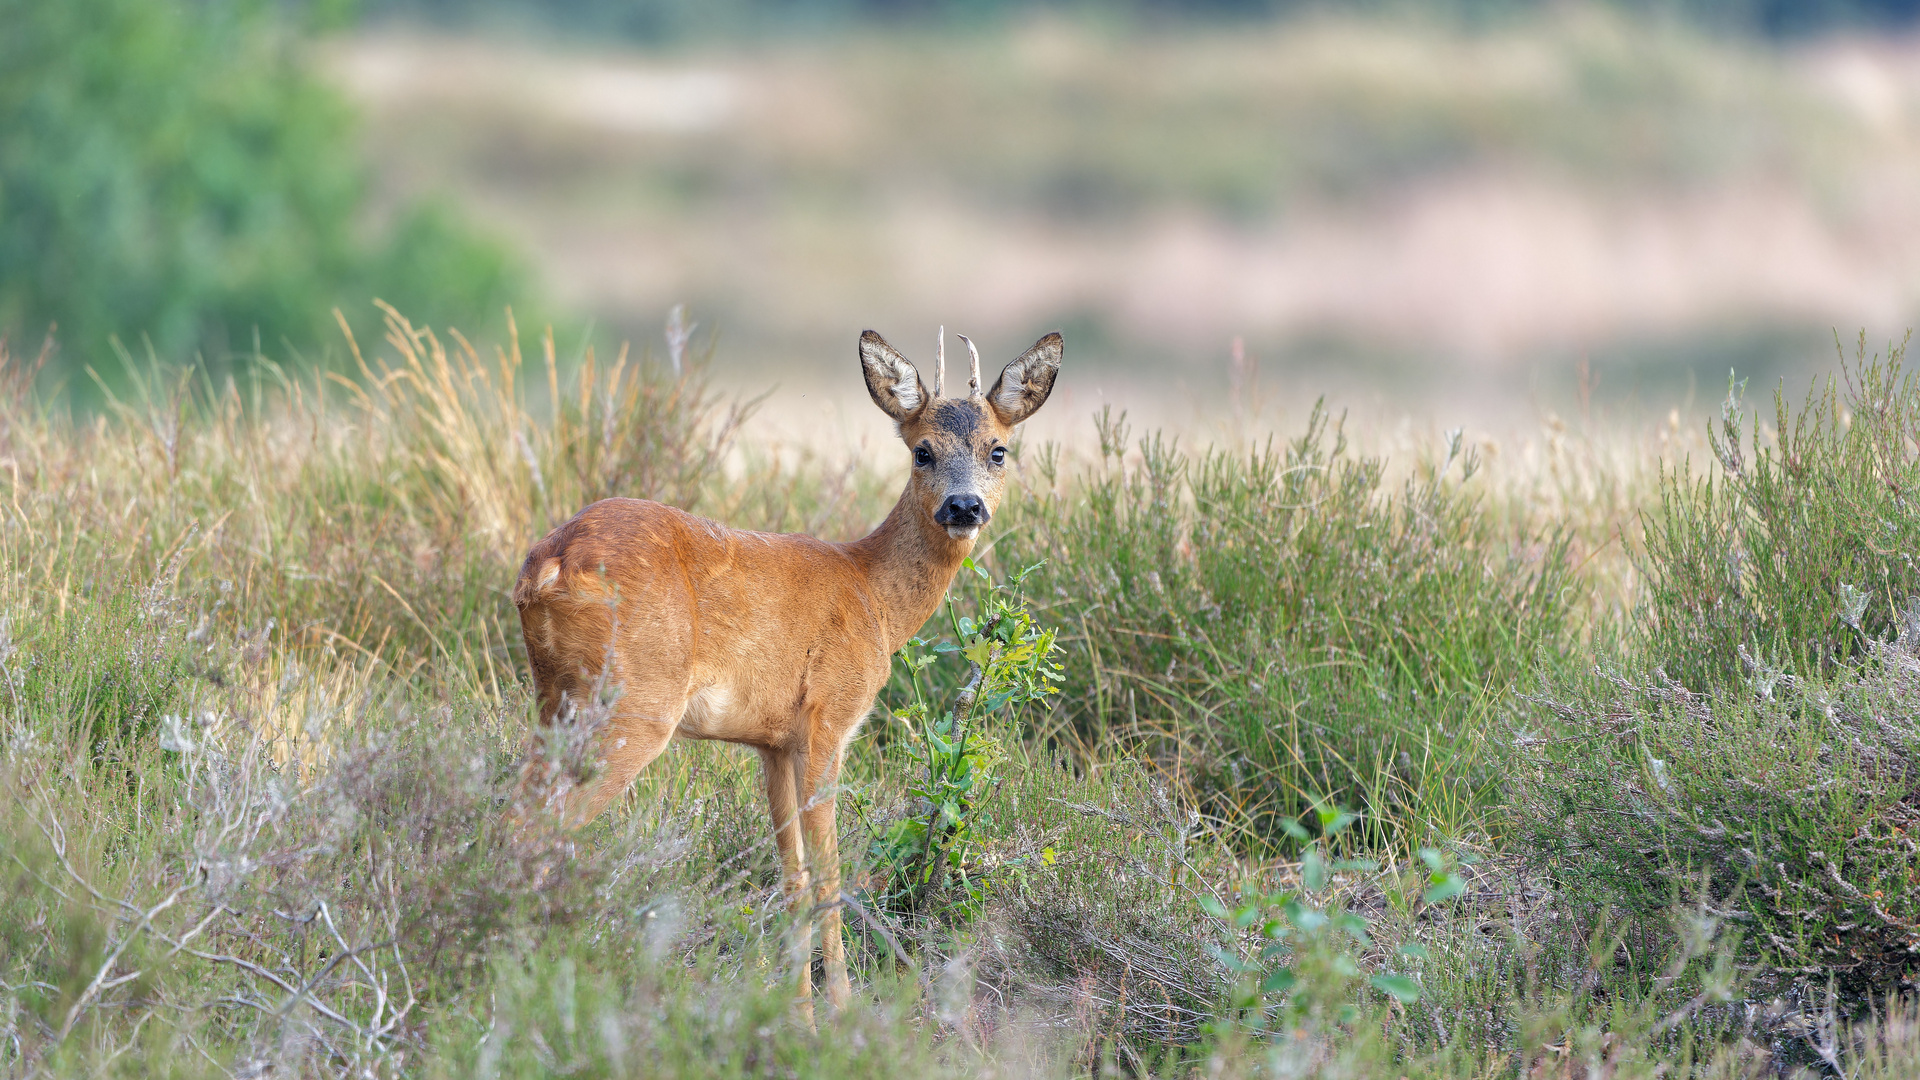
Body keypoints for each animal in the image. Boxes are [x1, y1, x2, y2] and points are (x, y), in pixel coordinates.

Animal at [510, 326, 1059, 1006]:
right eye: (922, 451)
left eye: (998, 450)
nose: (963, 507)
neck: (872, 595)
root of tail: (547, 565)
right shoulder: (827, 721)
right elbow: (829, 877)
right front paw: (844, 1011)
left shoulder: (772, 743)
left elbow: (791, 880)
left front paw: (800, 1013)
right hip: (633, 704)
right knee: (540, 827)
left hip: (551, 697)